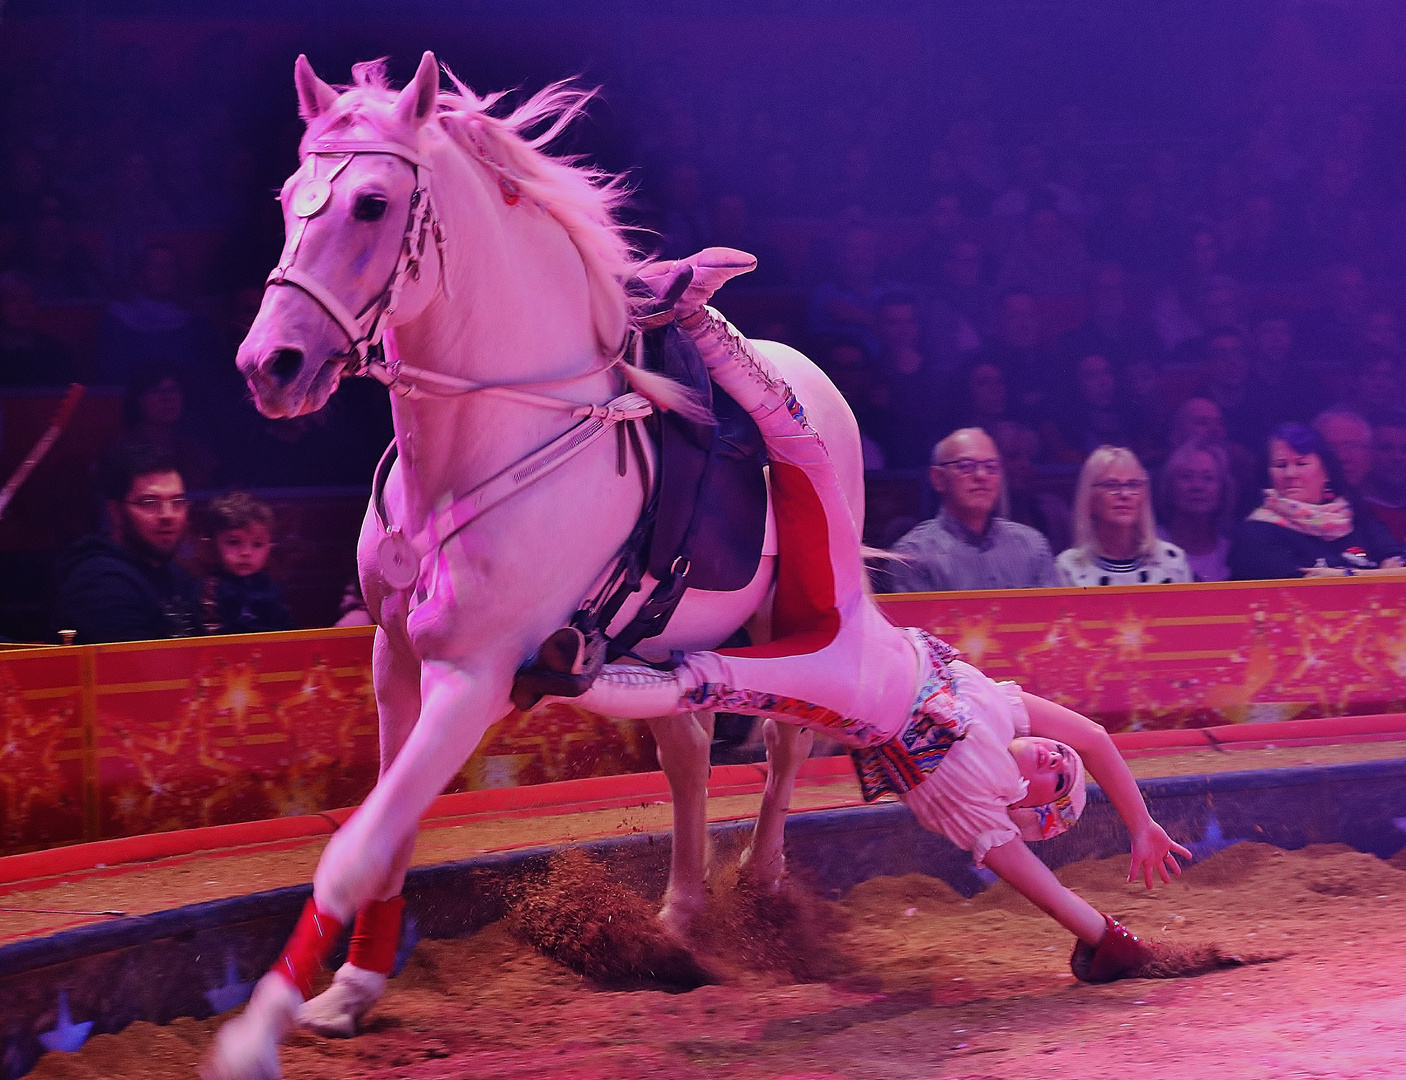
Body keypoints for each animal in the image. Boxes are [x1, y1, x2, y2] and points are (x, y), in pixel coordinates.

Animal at [208, 56, 866, 1080]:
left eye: (370, 203)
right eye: (287, 199)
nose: (270, 364)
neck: (480, 449)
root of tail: (808, 375)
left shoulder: (474, 678)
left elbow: (354, 849)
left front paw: (257, 1029)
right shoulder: (396, 662)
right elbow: (386, 833)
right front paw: (351, 990)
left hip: (793, 624)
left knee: (785, 747)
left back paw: (761, 895)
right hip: (665, 641)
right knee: (689, 755)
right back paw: (683, 916)